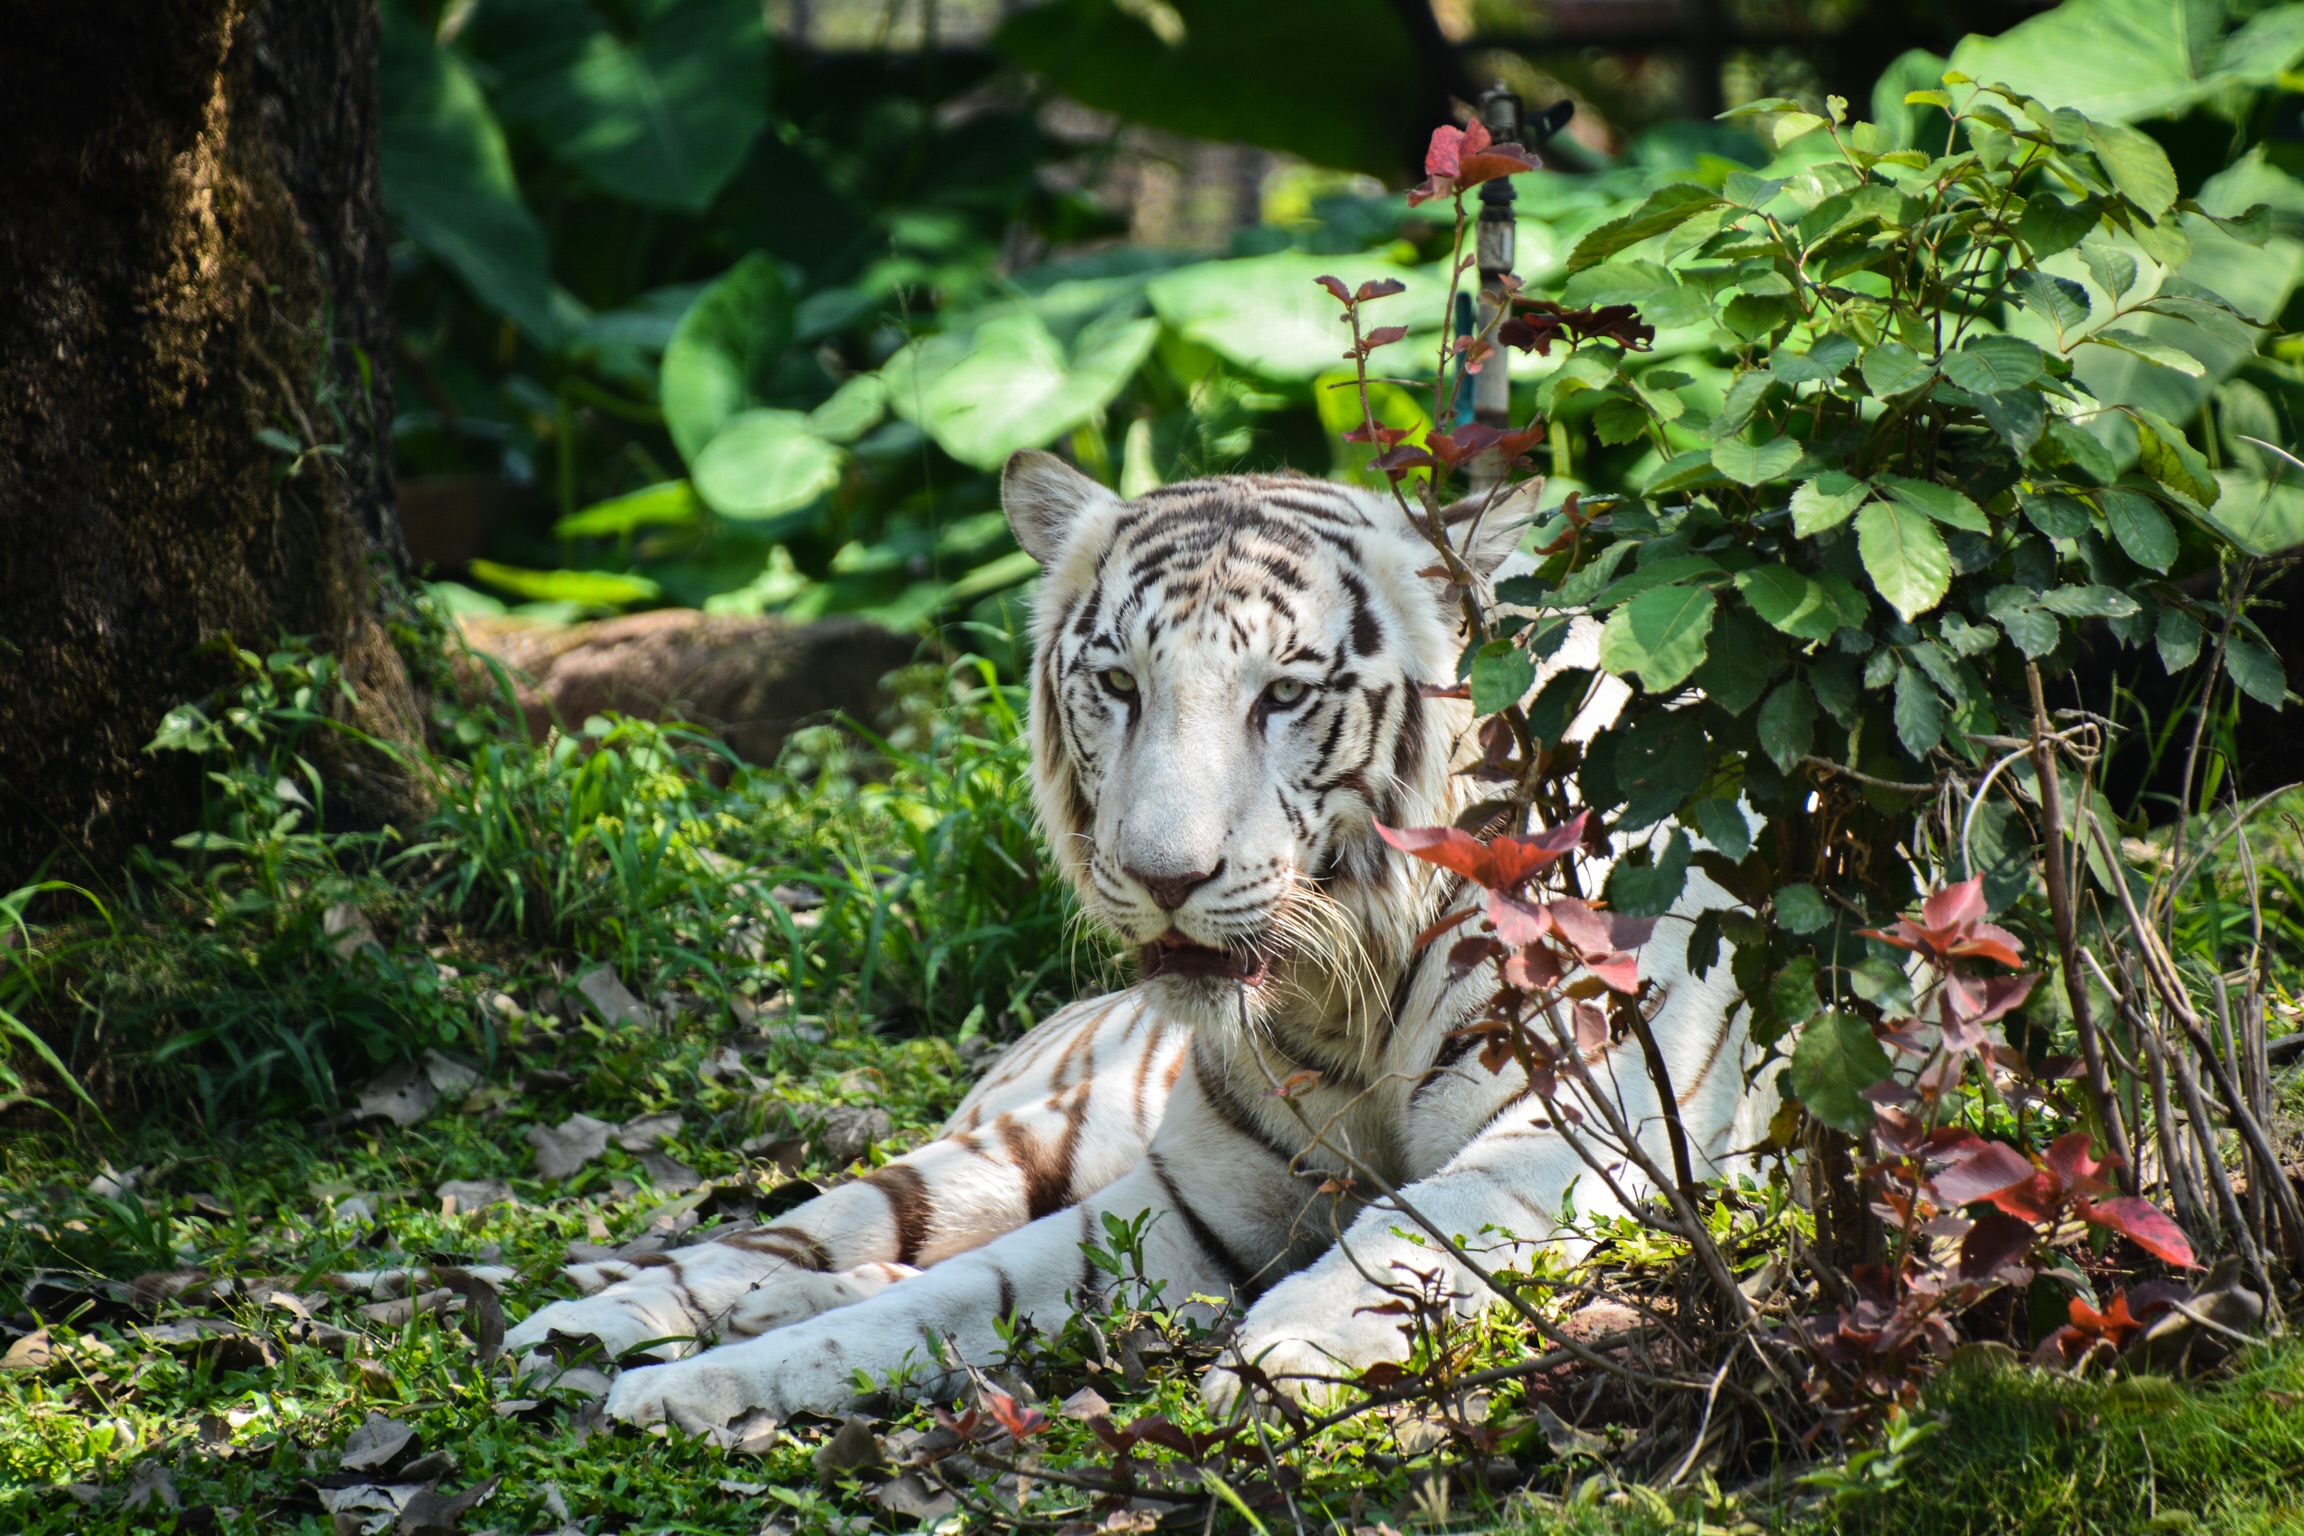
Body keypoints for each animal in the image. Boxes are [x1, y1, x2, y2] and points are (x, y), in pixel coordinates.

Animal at [504, 453, 1751, 1427]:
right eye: (1117, 682)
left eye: (1283, 695)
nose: (1165, 878)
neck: (1343, 990)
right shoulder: (1189, 1195)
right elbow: (954, 1294)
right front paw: (705, 1385)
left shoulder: (1576, 1136)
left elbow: (1415, 1227)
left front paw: (1287, 1356)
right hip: (1025, 1138)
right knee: (805, 1233)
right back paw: (587, 1327)